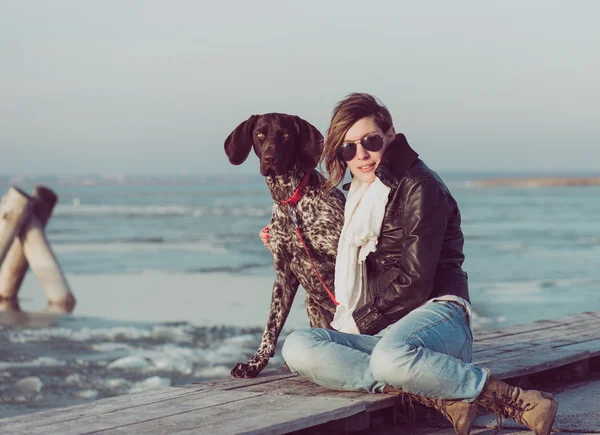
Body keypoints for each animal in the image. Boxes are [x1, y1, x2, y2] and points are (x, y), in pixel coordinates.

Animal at [225, 113, 346, 378]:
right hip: (311, 303)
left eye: (286, 134)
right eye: (260, 134)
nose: (270, 158)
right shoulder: (283, 274)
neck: (291, 201)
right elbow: (271, 326)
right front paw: (253, 364)